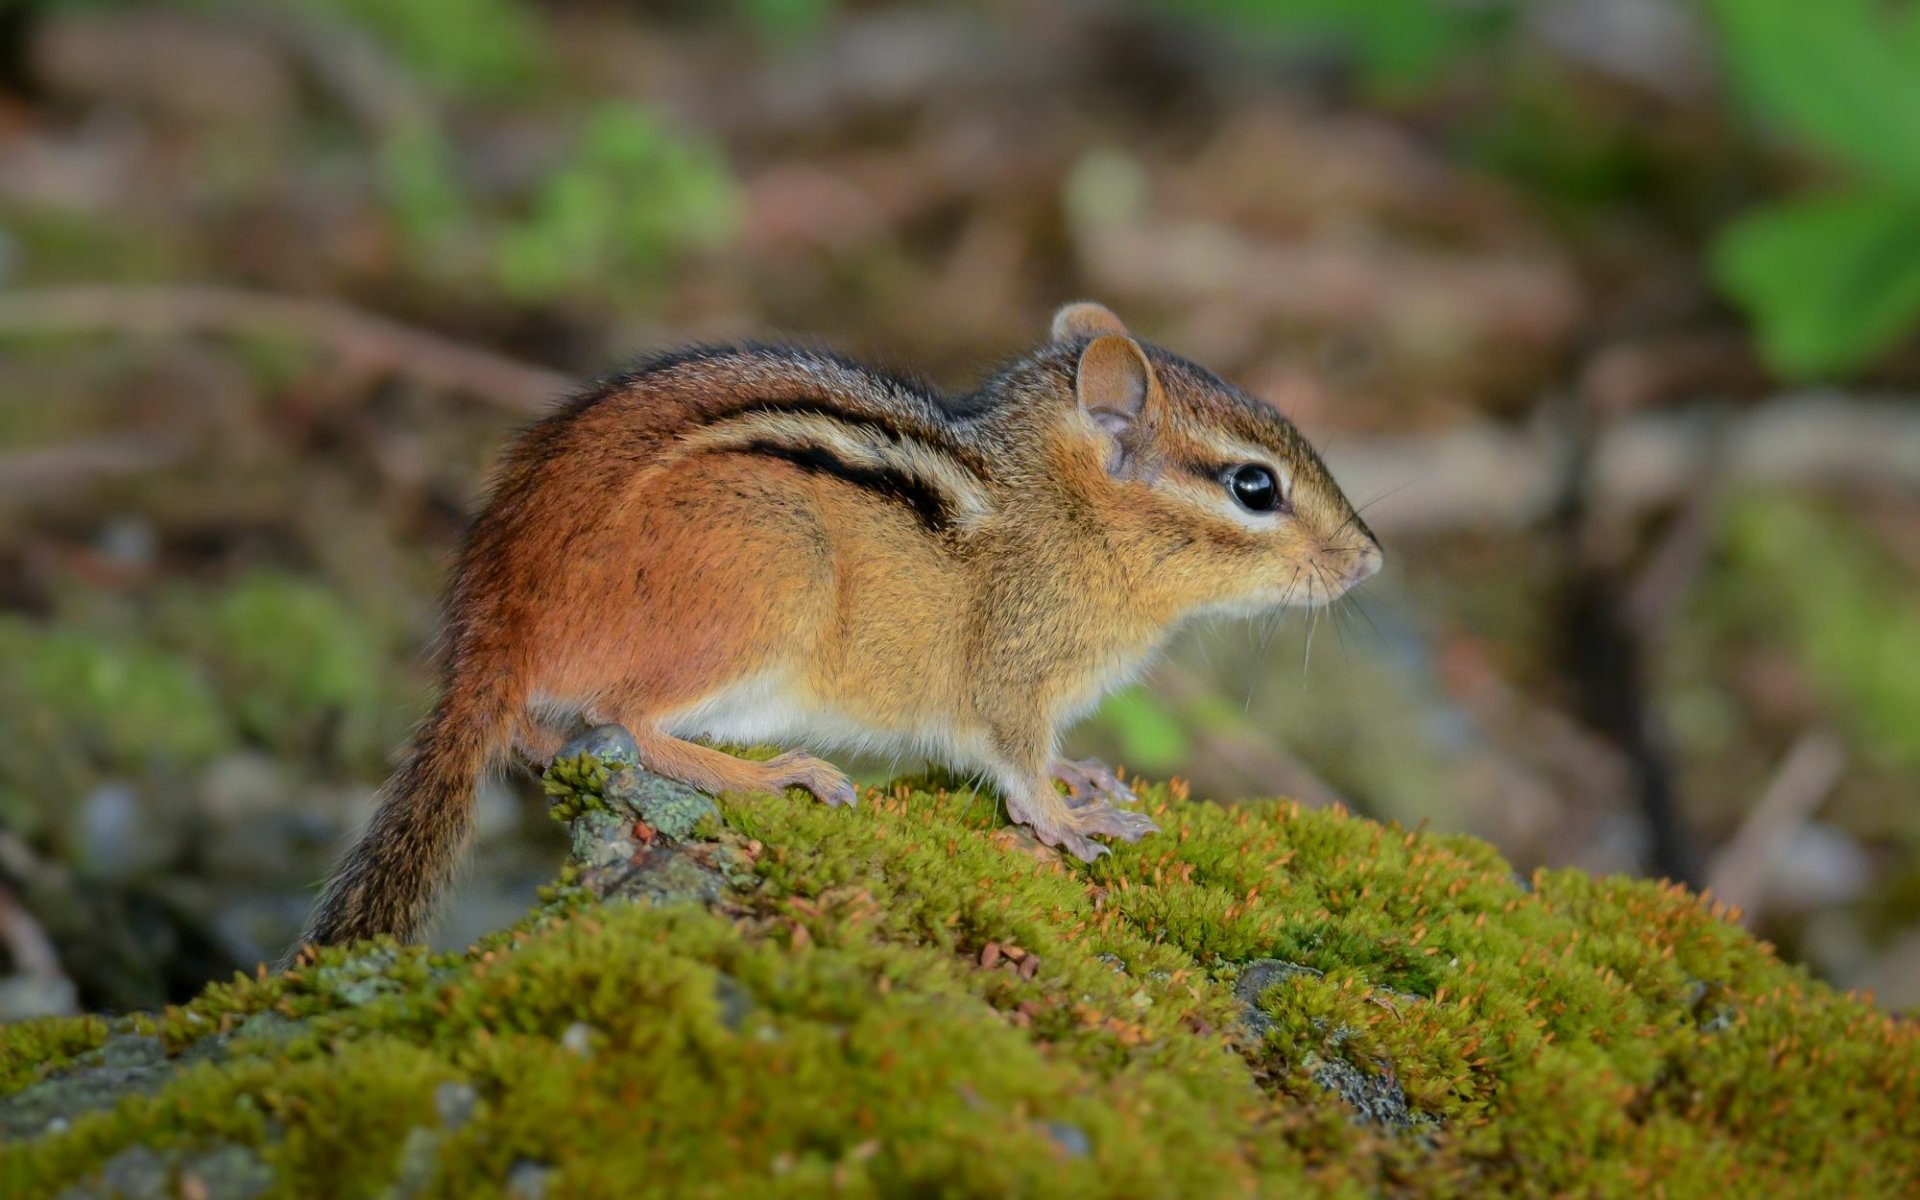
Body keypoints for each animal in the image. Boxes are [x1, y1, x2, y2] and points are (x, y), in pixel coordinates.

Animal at [299, 302, 1382, 948]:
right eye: (1255, 487)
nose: (1370, 559)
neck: (1062, 515)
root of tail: (492, 622)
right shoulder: (1011, 678)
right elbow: (1015, 763)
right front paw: (1067, 817)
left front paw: (1087, 777)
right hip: (770, 575)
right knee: (630, 726)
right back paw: (777, 774)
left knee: (543, 733)